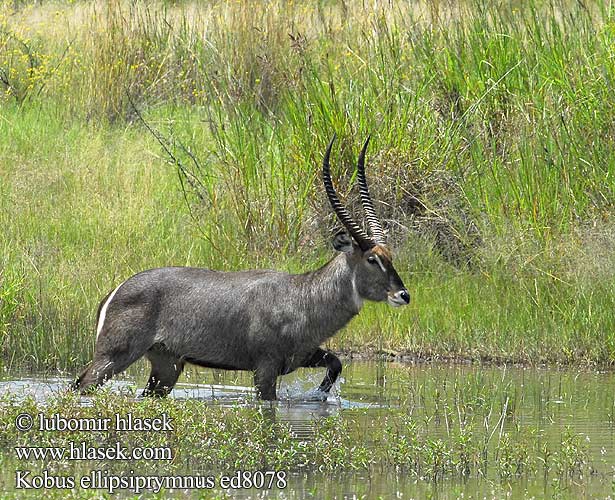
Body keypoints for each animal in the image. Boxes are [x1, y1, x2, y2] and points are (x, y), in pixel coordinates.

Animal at [72, 135, 410, 400]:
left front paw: (321, 395)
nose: (403, 295)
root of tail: (115, 291)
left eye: (390, 256)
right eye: (372, 259)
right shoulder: (265, 368)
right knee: (81, 384)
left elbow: (336, 363)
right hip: (115, 355)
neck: (304, 297)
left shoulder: (302, 355)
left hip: (167, 365)